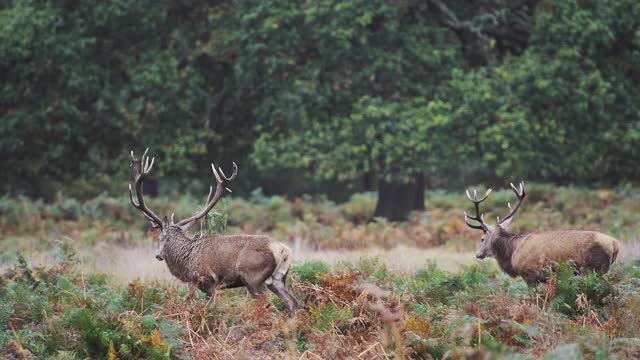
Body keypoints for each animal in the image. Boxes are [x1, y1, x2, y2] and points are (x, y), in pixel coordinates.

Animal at [127, 148, 298, 316]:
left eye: (161, 238)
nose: (157, 255)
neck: (188, 261)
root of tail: (283, 250)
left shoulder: (208, 282)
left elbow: (211, 308)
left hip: (253, 278)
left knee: (269, 306)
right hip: (278, 278)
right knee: (292, 302)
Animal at [464, 181, 620, 286]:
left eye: (482, 239)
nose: (477, 254)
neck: (512, 252)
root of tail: (615, 244)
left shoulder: (530, 275)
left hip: (597, 269)